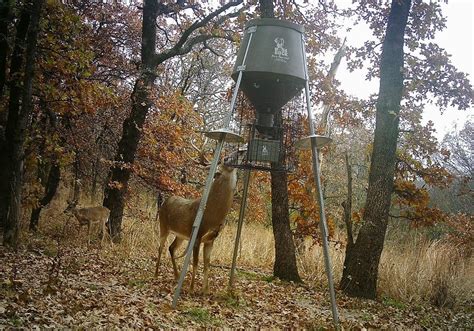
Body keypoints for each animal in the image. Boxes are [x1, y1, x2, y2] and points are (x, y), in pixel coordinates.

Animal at [156, 152, 243, 294]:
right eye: (226, 158)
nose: (241, 151)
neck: (211, 215)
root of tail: (165, 202)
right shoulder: (197, 235)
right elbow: (196, 262)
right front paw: (191, 289)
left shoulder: (210, 239)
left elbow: (207, 264)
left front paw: (206, 290)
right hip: (163, 225)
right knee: (160, 248)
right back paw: (156, 274)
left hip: (181, 235)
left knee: (171, 248)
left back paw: (177, 276)